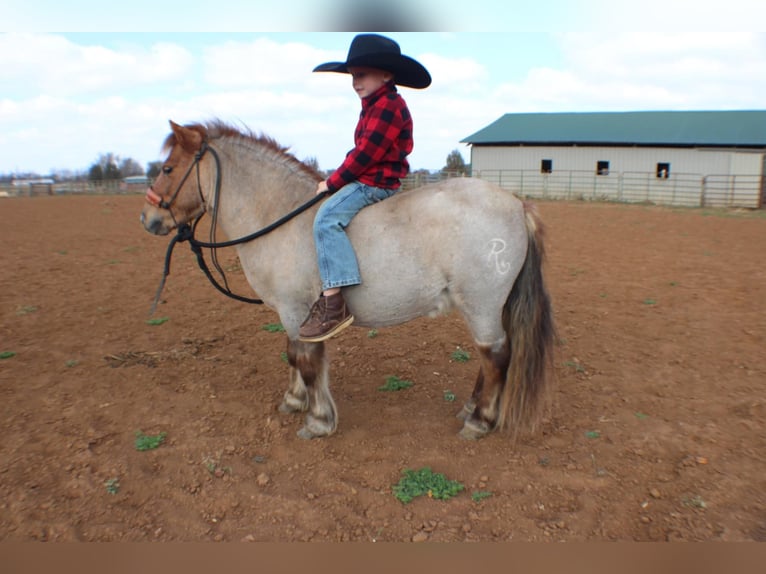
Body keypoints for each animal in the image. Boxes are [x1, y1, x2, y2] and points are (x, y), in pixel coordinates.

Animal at [140, 121, 560, 444]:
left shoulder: (296, 308)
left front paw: (318, 420)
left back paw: (480, 420)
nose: (147, 218)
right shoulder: (294, 313)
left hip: (481, 304)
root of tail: (517, 204)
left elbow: (307, 361)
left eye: (167, 168)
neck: (281, 214)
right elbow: (292, 353)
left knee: (496, 356)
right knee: (490, 358)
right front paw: (294, 401)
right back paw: (472, 407)